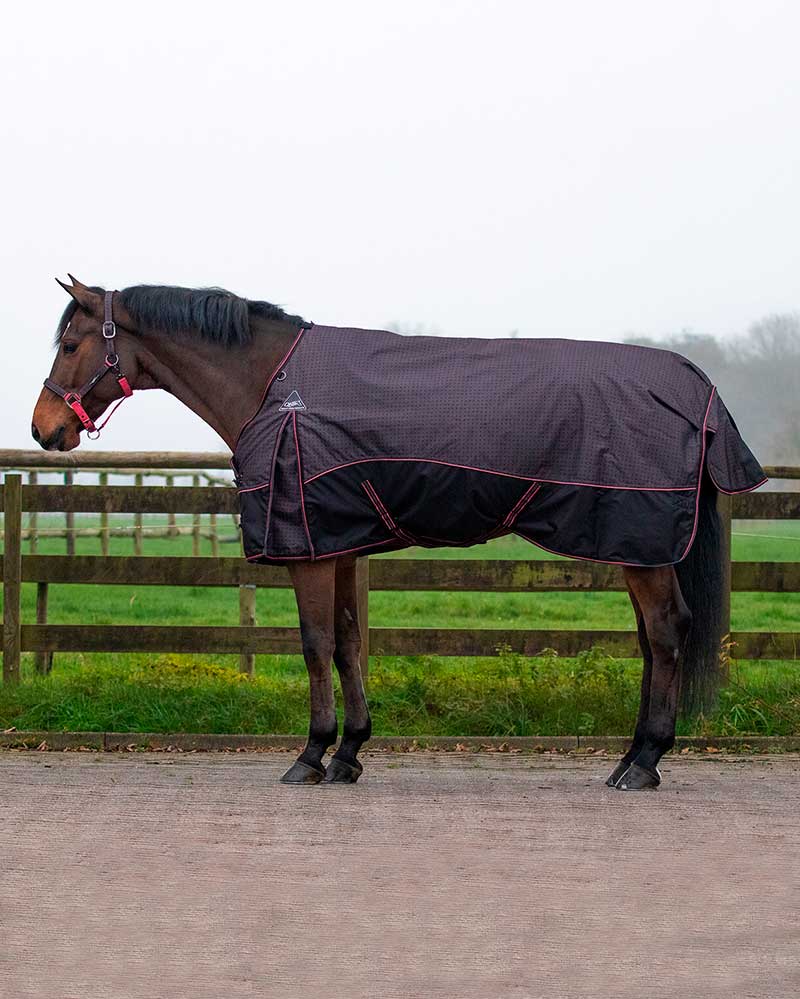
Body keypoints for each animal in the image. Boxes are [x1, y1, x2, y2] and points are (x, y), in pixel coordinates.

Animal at [32, 277, 766, 789]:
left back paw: (643, 762)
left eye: (70, 345)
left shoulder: (308, 550)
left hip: (639, 543)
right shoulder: (339, 544)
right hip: (635, 547)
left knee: (666, 633)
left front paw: (311, 753)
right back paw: (630, 756)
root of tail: (698, 388)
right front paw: (349, 752)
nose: (44, 429)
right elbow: (349, 642)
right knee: (651, 639)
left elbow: (315, 644)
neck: (274, 385)